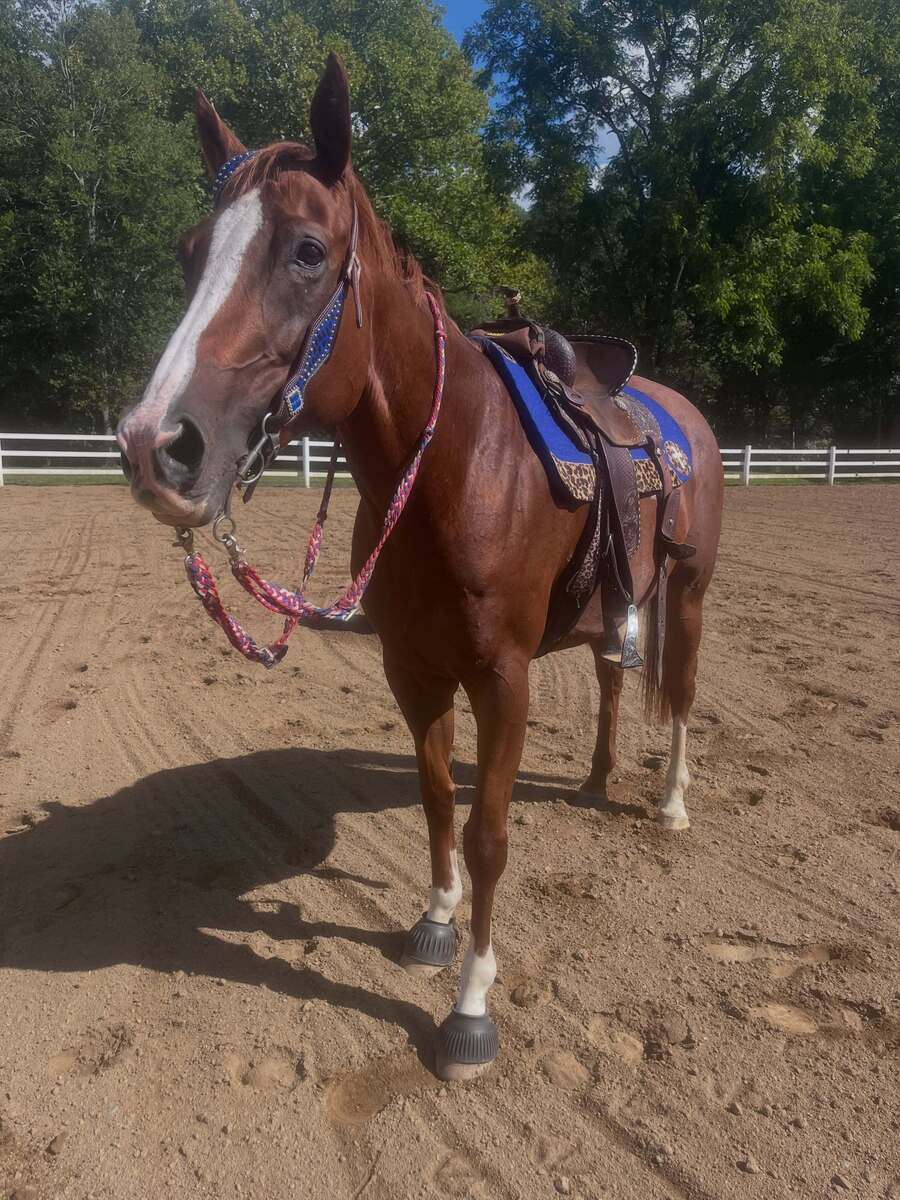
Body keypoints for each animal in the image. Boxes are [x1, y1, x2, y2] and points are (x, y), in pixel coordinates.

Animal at [117, 54, 723, 1080]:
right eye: (188, 253)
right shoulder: (413, 667)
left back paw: (670, 803)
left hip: (686, 589)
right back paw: (598, 779)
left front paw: (471, 1006)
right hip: (617, 603)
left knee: (676, 692)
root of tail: (683, 413)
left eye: (307, 251)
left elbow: (487, 834)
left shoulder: (504, 677)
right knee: (612, 679)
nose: (156, 444)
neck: (459, 466)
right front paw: (434, 922)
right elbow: (439, 798)